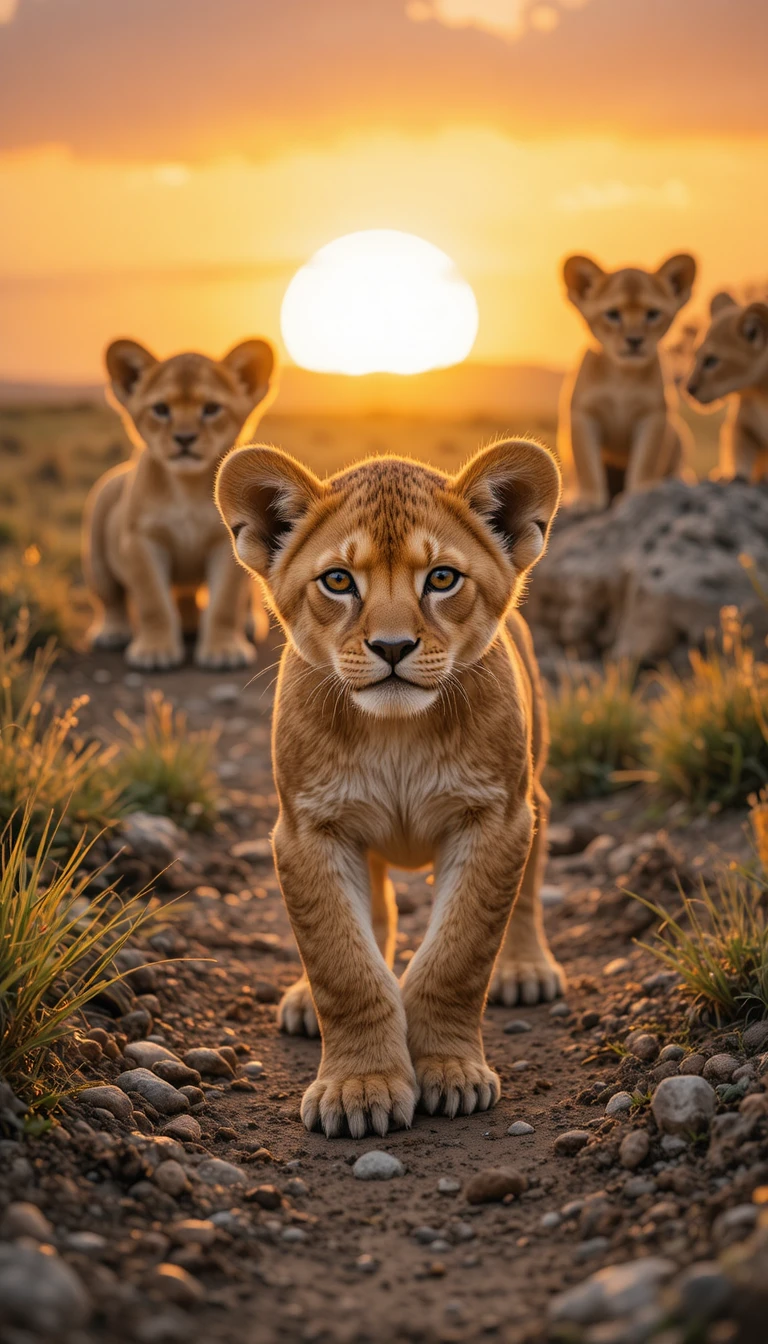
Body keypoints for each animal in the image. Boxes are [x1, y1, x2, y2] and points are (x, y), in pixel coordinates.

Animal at [84, 337, 275, 669]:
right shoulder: (142, 540)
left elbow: (225, 602)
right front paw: (155, 651)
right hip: (98, 557)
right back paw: (113, 632)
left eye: (211, 409)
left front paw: (224, 650)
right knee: (111, 599)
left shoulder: (227, 543)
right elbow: (153, 601)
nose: (184, 438)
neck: (188, 487)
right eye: (161, 410)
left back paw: (239, 624)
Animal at [215, 439, 564, 1137]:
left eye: (442, 579)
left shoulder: (495, 817)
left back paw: (524, 967)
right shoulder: (307, 828)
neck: (396, 734)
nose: (394, 646)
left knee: (530, 879)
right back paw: (303, 1000)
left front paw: (450, 1073)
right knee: (374, 914)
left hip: (531, 790)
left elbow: (458, 954)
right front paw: (360, 1088)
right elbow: (343, 962)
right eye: (339, 581)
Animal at [559, 253, 697, 508]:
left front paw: (641, 493)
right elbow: (585, 463)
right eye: (613, 314)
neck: (622, 375)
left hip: (679, 433)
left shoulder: (653, 414)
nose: (634, 340)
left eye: (652, 313)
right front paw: (588, 499)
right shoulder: (583, 413)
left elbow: (646, 460)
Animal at [686, 292, 768, 483]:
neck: (761, 393)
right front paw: (733, 476)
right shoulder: (742, 425)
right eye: (696, 356)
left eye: (711, 361)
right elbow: (740, 451)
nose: (689, 389)